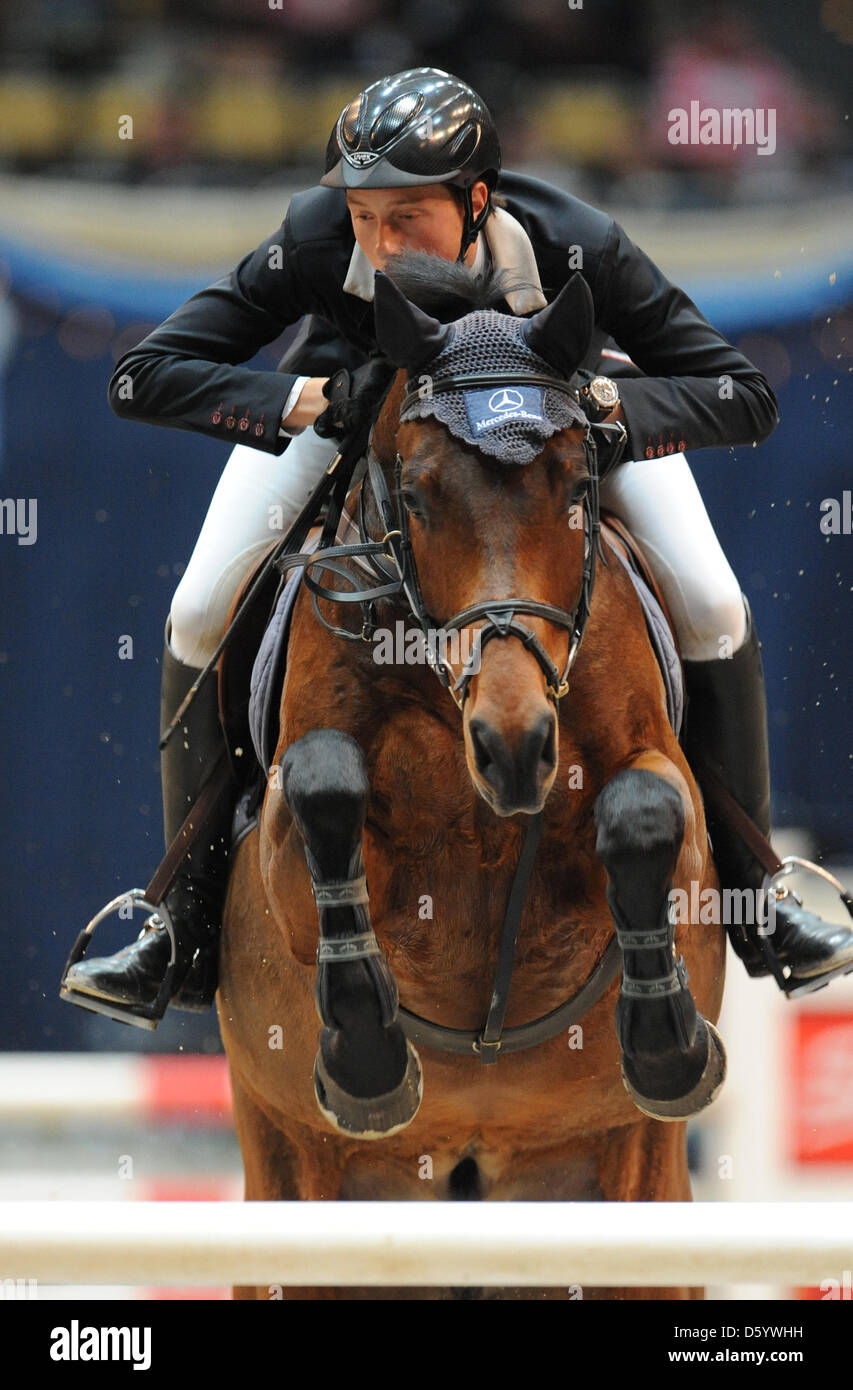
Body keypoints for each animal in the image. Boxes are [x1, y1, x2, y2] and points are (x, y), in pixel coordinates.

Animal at [215, 261, 727, 1301]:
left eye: (575, 484)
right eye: (413, 497)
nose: (513, 745)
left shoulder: (671, 802)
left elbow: (644, 811)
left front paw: (668, 1048)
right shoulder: (284, 823)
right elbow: (324, 787)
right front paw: (370, 1062)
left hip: (641, 1208)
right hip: (289, 1193)